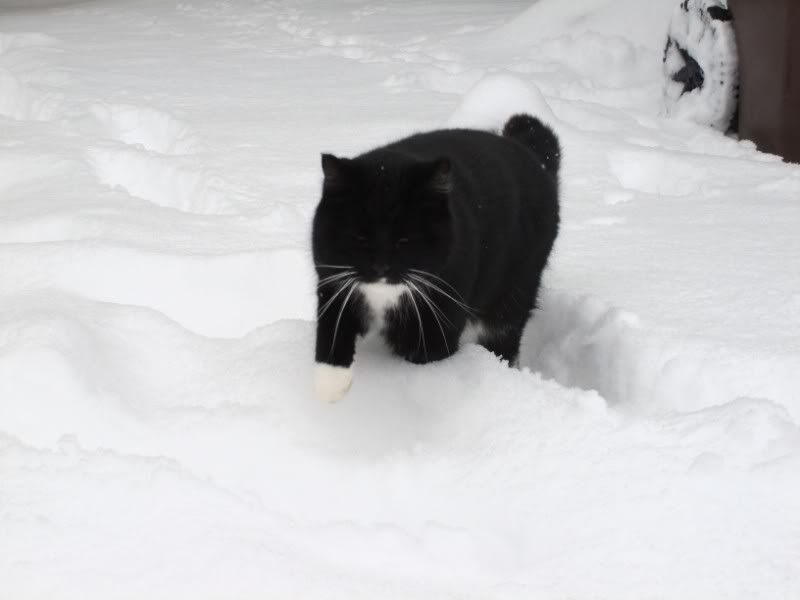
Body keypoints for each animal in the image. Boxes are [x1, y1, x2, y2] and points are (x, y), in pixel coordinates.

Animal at [312, 113, 560, 403]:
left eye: (406, 239)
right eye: (360, 237)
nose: (381, 267)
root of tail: (533, 158)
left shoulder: (437, 319)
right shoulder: (332, 283)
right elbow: (332, 330)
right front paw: (330, 387)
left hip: (515, 288)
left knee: (504, 336)